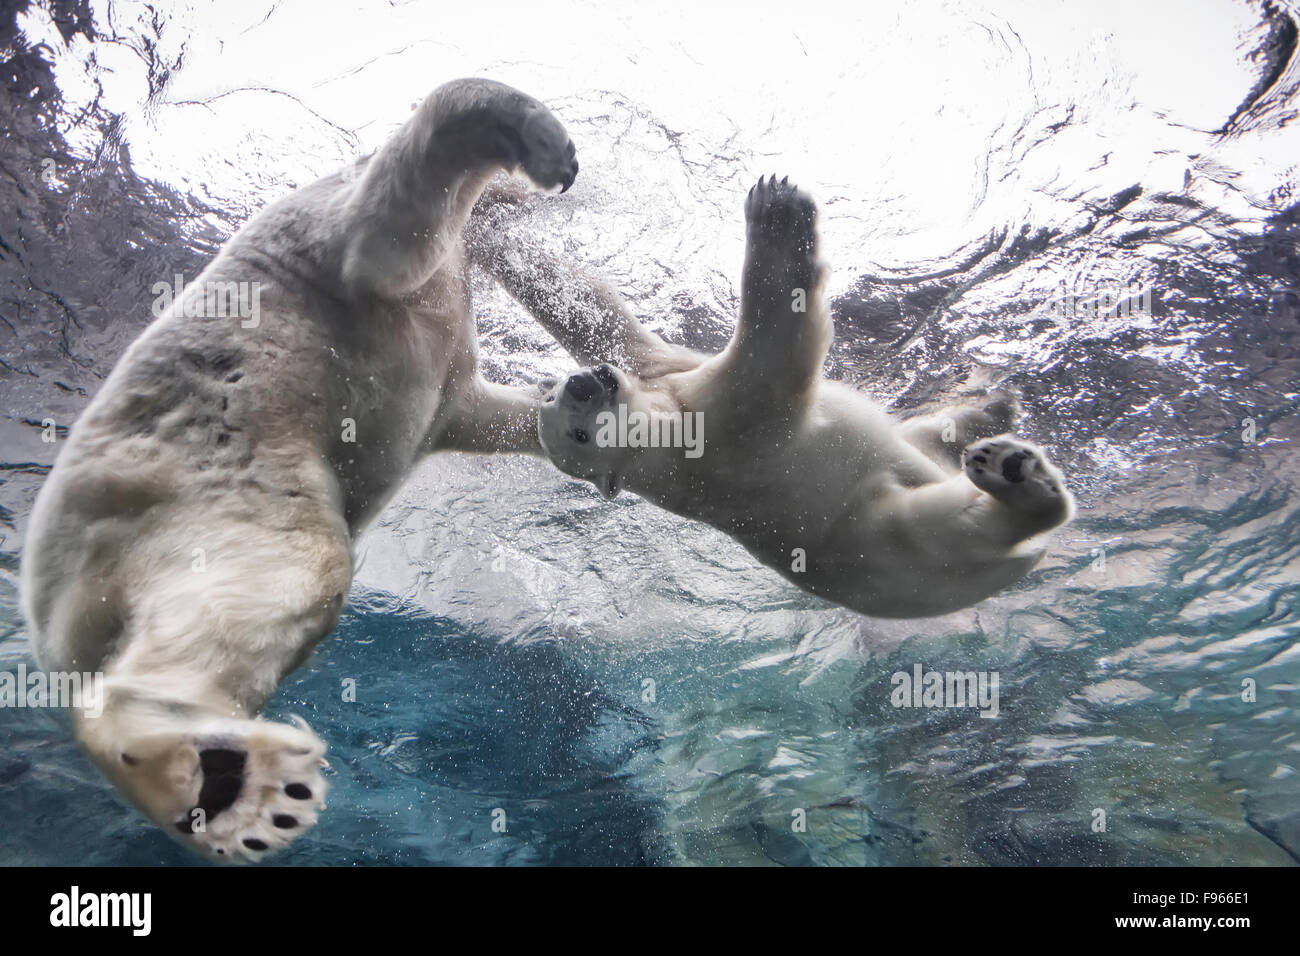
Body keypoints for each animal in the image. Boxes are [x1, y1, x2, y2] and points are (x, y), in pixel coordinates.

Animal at [19, 78, 579, 863]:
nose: (562, 197)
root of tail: (49, 610)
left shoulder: (447, 378)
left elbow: (473, 409)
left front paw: (583, 401)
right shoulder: (333, 235)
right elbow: (396, 224)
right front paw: (540, 140)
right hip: (209, 471)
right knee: (288, 571)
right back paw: (228, 791)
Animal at [473, 174, 1071, 616]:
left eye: (558, 395)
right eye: (576, 434)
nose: (580, 384)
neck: (661, 445)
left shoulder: (663, 371)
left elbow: (595, 313)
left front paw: (487, 221)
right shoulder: (727, 428)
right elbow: (774, 351)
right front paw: (777, 212)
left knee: (926, 437)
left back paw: (989, 411)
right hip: (896, 543)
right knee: (955, 521)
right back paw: (1014, 475)